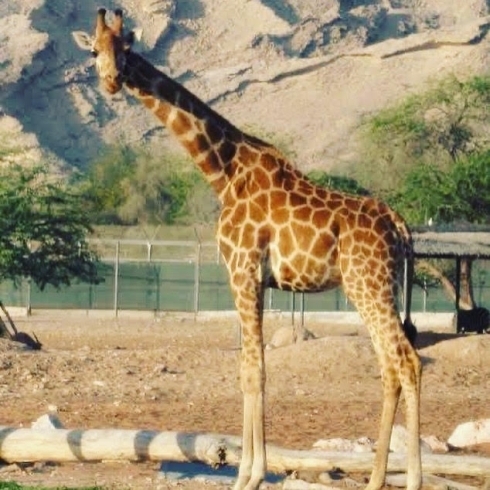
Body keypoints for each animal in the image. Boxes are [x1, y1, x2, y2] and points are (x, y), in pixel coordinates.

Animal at [72, 8, 422, 490]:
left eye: (125, 48)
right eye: (93, 51)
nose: (111, 81)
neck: (222, 172)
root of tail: (401, 227)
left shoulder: (242, 272)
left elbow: (253, 371)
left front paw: (249, 475)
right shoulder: (253, 279)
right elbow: (248, 370)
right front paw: (246, 471)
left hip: (368, 284)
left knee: (407, 361)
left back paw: (411, 479)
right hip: (374, 287)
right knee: (390, 364)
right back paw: (375, 479)